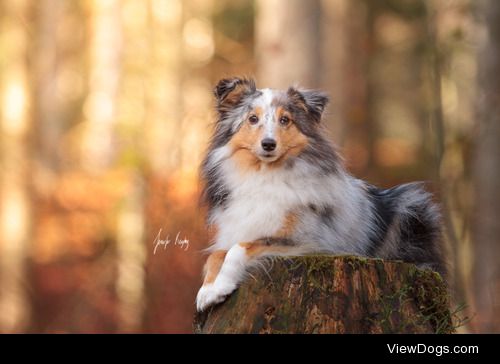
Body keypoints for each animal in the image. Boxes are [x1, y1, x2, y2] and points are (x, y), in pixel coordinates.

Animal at [195, 77, 446, 312]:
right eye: (252, 119)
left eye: (285, 120)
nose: (268, 144)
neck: (264, 174)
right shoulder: (238, 230)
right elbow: (215, 254)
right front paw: (206, 291)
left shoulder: (308, 240)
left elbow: (238, 249)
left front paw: (221, 286)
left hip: (410, 205)